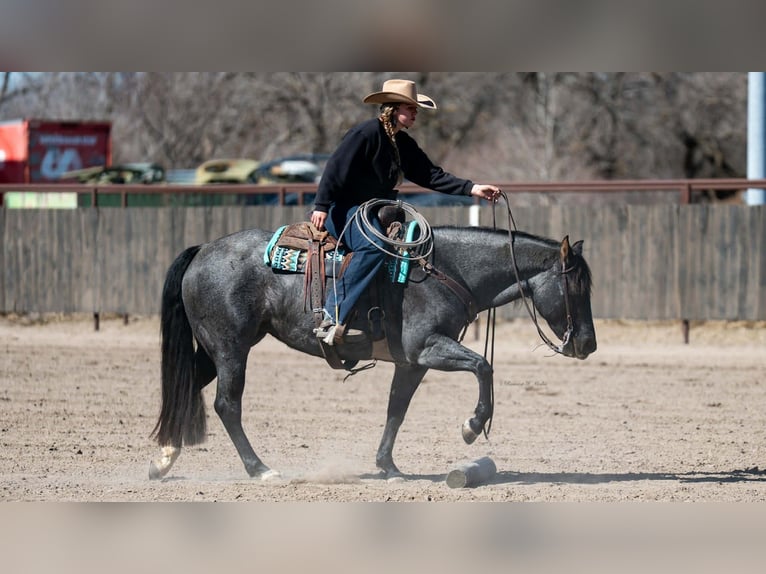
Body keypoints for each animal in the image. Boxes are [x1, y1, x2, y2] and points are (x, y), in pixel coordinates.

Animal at [148, 222, 596, 480]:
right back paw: (260, 470)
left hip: (215, 348)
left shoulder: (411, 363)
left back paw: (162, 461)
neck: (444, 269)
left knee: (185, 388)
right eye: (576, 286)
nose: (588, 343)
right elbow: (483, 366)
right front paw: (471, 426)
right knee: (227, 404)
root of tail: (203, 249)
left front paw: (388, 466)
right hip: (231, 348)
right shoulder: (428, 348)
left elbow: (396, 408)